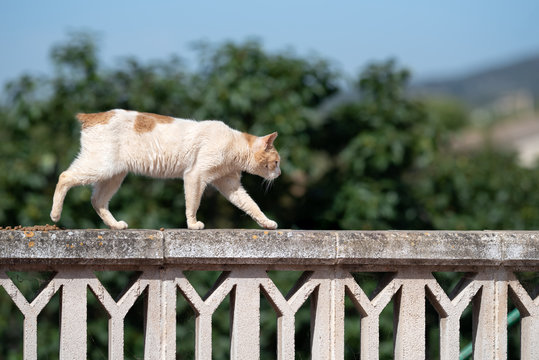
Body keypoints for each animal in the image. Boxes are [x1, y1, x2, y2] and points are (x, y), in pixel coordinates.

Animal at [49, 108, 282, 229]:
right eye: (277, 162)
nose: (279, 173)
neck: (235, 144)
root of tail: (93, 115)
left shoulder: (229, 184)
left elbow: (251, 205)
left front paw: (267, 223)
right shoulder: (195, 175)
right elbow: (192, 204)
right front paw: (193, 224)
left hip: (114, 175)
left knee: (97, 200)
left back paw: (116, 225)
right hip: (100, 166)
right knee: (64, 176)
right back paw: (55, 215)